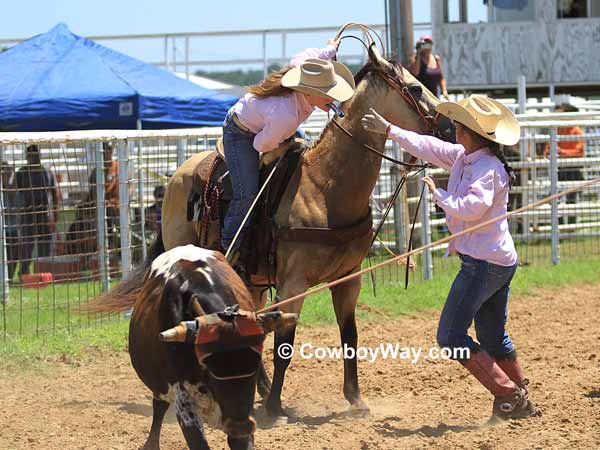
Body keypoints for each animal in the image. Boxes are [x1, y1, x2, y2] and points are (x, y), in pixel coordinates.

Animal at [91, 33, 452, 424]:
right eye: (415, 88)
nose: (450, 127)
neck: (323, 188)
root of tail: (177, 177)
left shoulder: (348, 278)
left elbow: (349, 336)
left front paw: (356, 401)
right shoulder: (294, 283)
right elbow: (285, 343)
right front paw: (276, 409)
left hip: (250, 280)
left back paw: (257, 388)